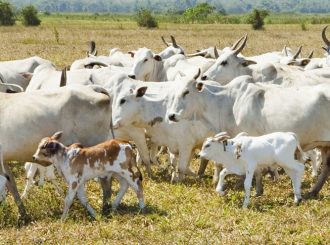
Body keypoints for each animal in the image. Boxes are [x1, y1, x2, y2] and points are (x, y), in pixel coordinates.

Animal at [169, 74, 330, 197]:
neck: (227, 102)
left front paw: (253, 188)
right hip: (326, 146)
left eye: (186, 92)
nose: (171, 116)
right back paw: (313, 191)